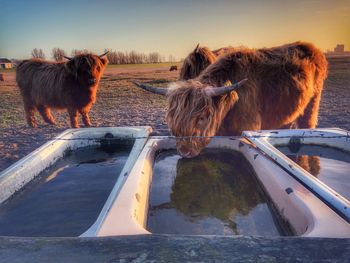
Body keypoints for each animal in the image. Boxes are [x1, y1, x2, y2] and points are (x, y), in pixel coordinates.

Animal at [135, 42, 328, 158]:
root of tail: (313, 47)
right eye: (171, 120)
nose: (185, 151)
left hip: (313, 103)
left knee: (307, 122)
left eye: (202, 117)